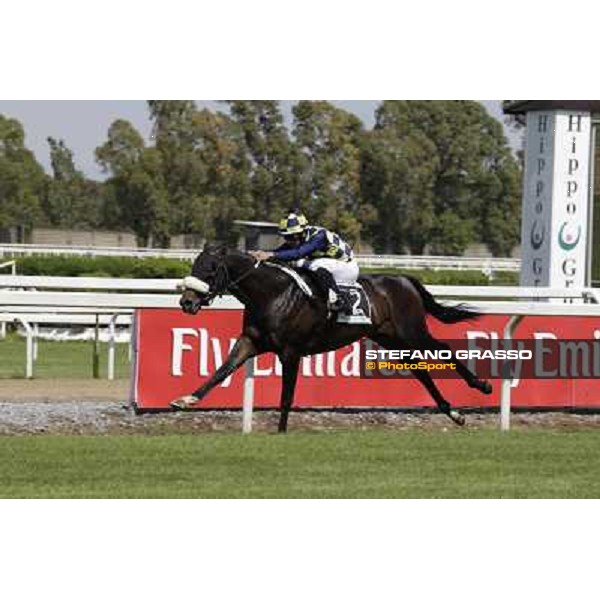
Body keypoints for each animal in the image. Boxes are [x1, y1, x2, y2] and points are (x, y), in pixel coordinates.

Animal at [172, 248, 492, 432]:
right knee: (421, 371)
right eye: (193, 266)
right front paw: (185, 399)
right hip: (390, 338)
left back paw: (482, 386)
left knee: (444, 349)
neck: (272, 294)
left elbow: (286, 396)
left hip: (411, 331)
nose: (186, 302)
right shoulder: (250, 341)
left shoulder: (290, 351)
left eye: (210, 269)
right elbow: (221, 371)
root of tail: (404, 279)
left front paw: (281, 432)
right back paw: (454, 413)